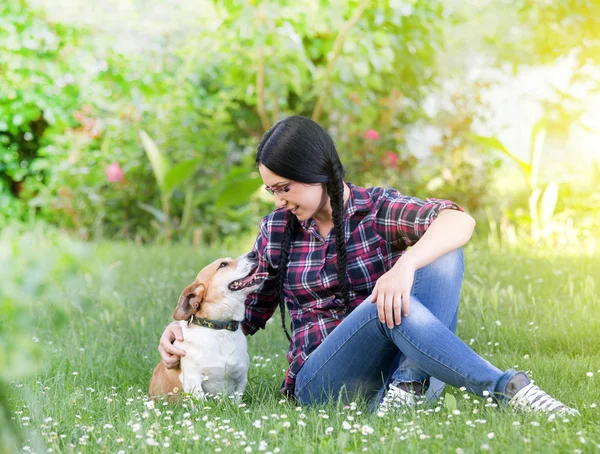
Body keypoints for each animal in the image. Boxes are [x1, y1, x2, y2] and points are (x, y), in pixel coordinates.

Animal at [149, 250, 266, 402]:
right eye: (223, 264)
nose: (254, 253)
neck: (220, 328)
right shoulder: (193, 381)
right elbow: (202, 403)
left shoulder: (240, 378)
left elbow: (236, 400)